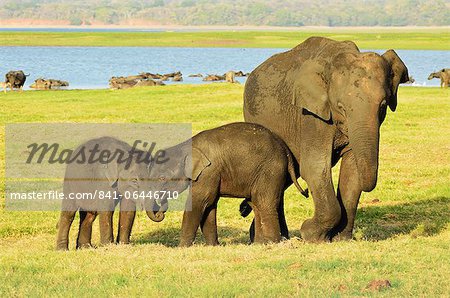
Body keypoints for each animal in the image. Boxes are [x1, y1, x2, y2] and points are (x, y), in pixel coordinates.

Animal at [148, 121, 310, 247]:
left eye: (162, 178)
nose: (161, 212)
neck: (186, 145)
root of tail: (286, 150)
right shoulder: (211, 174)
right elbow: (209, 205)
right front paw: (213, 246)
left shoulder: (208, 171)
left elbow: (200, 201)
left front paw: (182, 247)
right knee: (256, 203)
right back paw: (259, 244)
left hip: (271, 170)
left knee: (264, 203)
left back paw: (271, 244)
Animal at [244, 36, 410, 242]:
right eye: (341, 107)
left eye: (383, 105)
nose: (306, 193)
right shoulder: (310, 114)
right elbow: (314, 167)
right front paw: (311, 234)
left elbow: (352, 170)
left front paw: (341, 238)